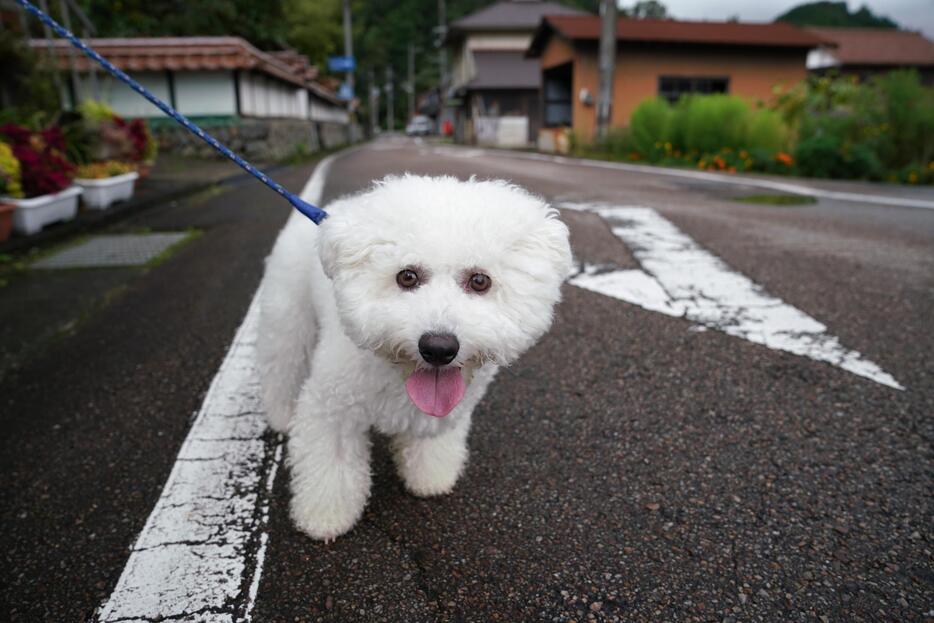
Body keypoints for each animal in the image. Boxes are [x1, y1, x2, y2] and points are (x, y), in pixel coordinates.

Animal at [260, 176, 576, 540]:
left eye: (480, 281)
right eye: (406, 276)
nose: (438, 348)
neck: (398, 371)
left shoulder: (442, 413)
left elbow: (430, 447)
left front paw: (430, 478)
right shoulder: (331, 409)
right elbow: (331, 466)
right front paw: (325, 517)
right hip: (288, 316)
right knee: (282, 364)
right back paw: (282, 414)